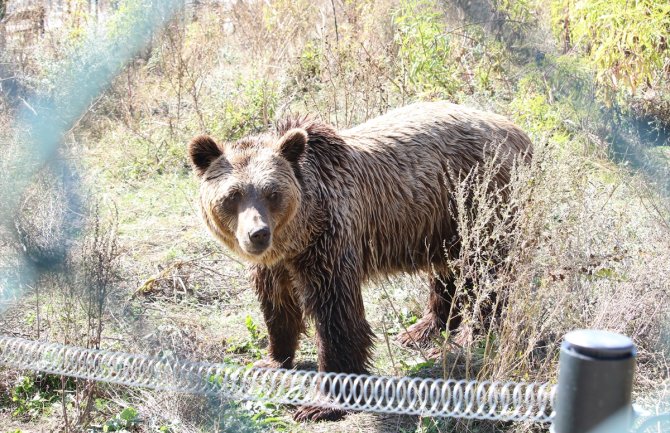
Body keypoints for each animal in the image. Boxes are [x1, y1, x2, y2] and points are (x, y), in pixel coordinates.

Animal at [189, 100, 536, 418]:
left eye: (273, 192)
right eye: (232, 195)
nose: (257, 233)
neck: (298, 234)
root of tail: (520, 132)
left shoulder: (330, 241)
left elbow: (337, 316)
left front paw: (322, 401)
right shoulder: (277, 263)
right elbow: (277, 305)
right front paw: (272, 359)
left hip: (479, 198)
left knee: (487, 271)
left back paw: (470, 335)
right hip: (442, 220)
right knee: (447, 271)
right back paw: (421, 330)